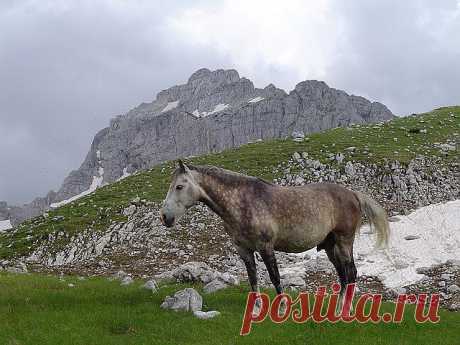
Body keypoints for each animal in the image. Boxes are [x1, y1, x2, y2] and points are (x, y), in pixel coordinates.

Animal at [160, 160, 390, 308]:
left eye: (179, 186)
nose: (165, 217)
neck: (243, 202)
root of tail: (353, 194)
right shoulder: (244, 250)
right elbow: (253, 277)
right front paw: (256, 307)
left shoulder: (266, 247)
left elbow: (275, 277)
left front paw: (282, 307)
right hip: (330, 246)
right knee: (343, 275)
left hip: (344, 242)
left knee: (351, 273)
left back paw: (345, 309)